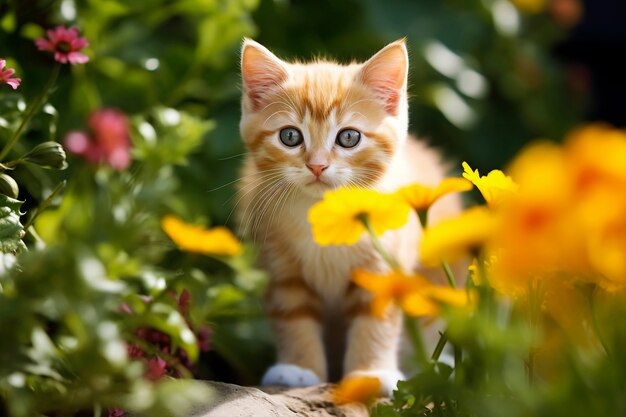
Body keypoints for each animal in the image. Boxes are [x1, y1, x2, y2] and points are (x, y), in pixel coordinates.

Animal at [236, 36, 460, 394]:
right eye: (290, 136)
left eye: (349, 137)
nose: (317, 165)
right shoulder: (279, 266)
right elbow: (294, 316)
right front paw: (298, 368)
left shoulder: (384, 263)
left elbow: (375, 319)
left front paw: (370, 375)